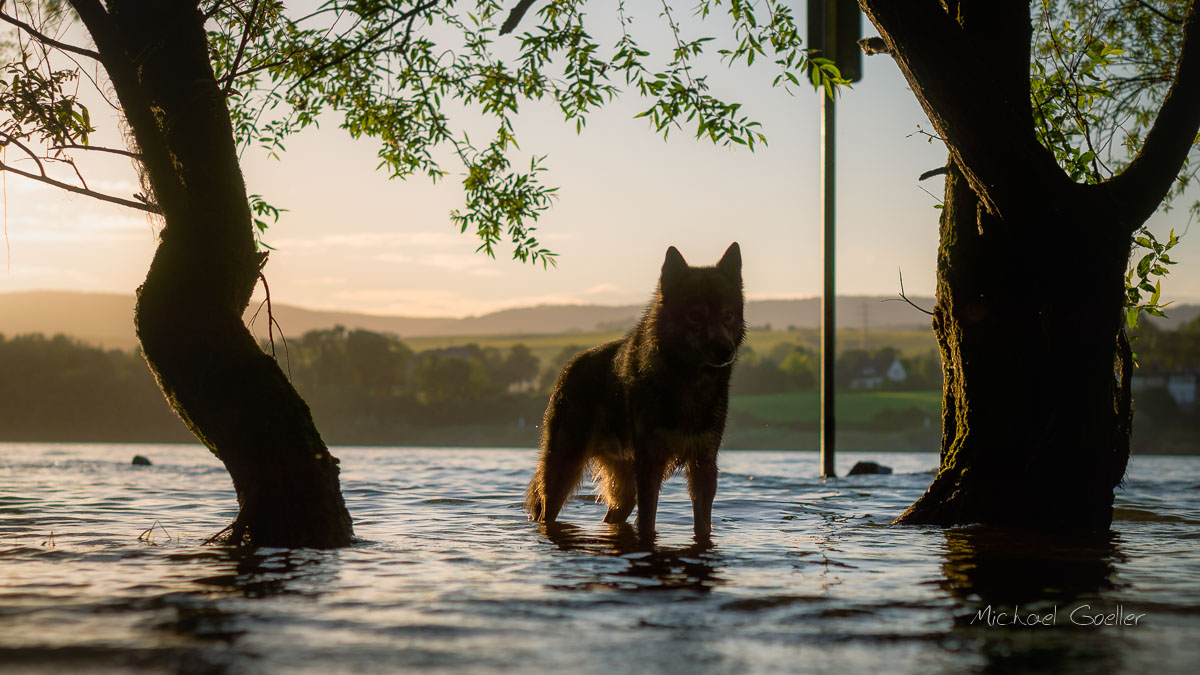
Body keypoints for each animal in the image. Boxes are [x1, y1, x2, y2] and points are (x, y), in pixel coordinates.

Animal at [525, 242, 745, 541]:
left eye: (728, 315)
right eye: (696, 315)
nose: (725, 351)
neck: (687, 381)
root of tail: (569, 366)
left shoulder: (703, 465)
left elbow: (703, 525)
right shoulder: (651, 465)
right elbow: (648, 524)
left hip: (625, 490)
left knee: (611, 516)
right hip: (563, 474)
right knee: (547, 515)